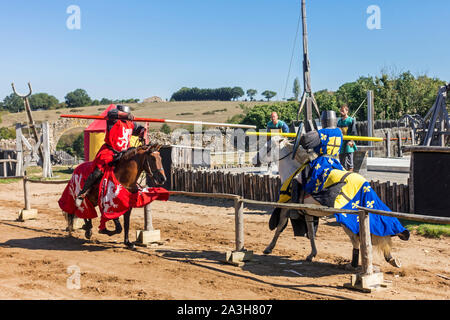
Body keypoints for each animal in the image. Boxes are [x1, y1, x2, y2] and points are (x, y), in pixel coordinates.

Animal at [255, 137, 406, 268]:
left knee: (356, 240)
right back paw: (389, 258)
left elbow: (279, 226)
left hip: (346, 218)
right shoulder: (308, 213)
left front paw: (269, 248)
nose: (255, 159)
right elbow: (311, 232)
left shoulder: (286, 207)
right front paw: (312, 254)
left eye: (268, 147)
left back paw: (353, 264)